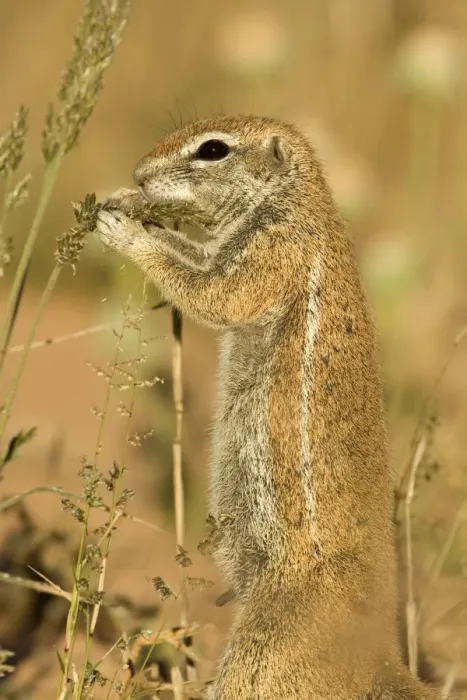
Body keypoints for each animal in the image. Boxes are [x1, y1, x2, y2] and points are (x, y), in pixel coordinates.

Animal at [96, 116, 440, 700]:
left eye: (213, 149)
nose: (139, 173)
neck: (295, 202)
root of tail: (380, 658)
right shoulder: (224, 250)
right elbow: (193, 257)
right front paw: (122, 201)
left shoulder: (270, 255)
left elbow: (211, 294)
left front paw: (124, 228)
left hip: (262, 653)